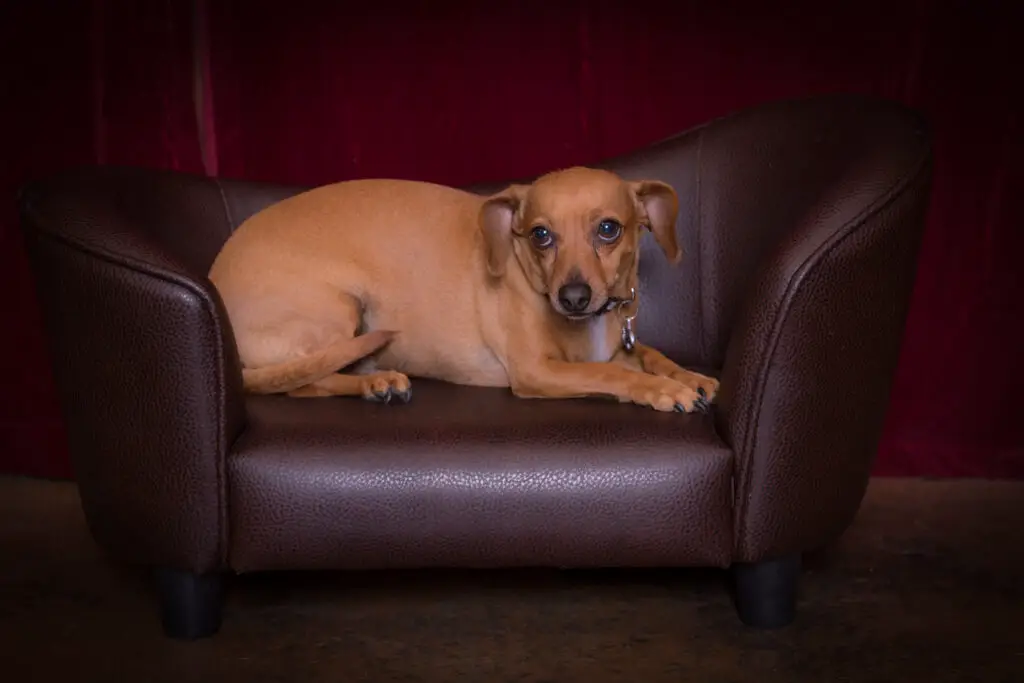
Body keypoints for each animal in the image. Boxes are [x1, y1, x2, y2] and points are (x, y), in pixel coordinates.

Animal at [207, 166, 720, 411]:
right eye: (540, 234)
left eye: (609, 229)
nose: (571, 298)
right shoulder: (536, 372)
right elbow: (612, 373)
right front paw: (661, 389)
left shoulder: (621, 342)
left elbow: (649, 354)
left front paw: (687, 376)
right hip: (342, 308)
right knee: (304, 382)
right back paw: (376, 382)